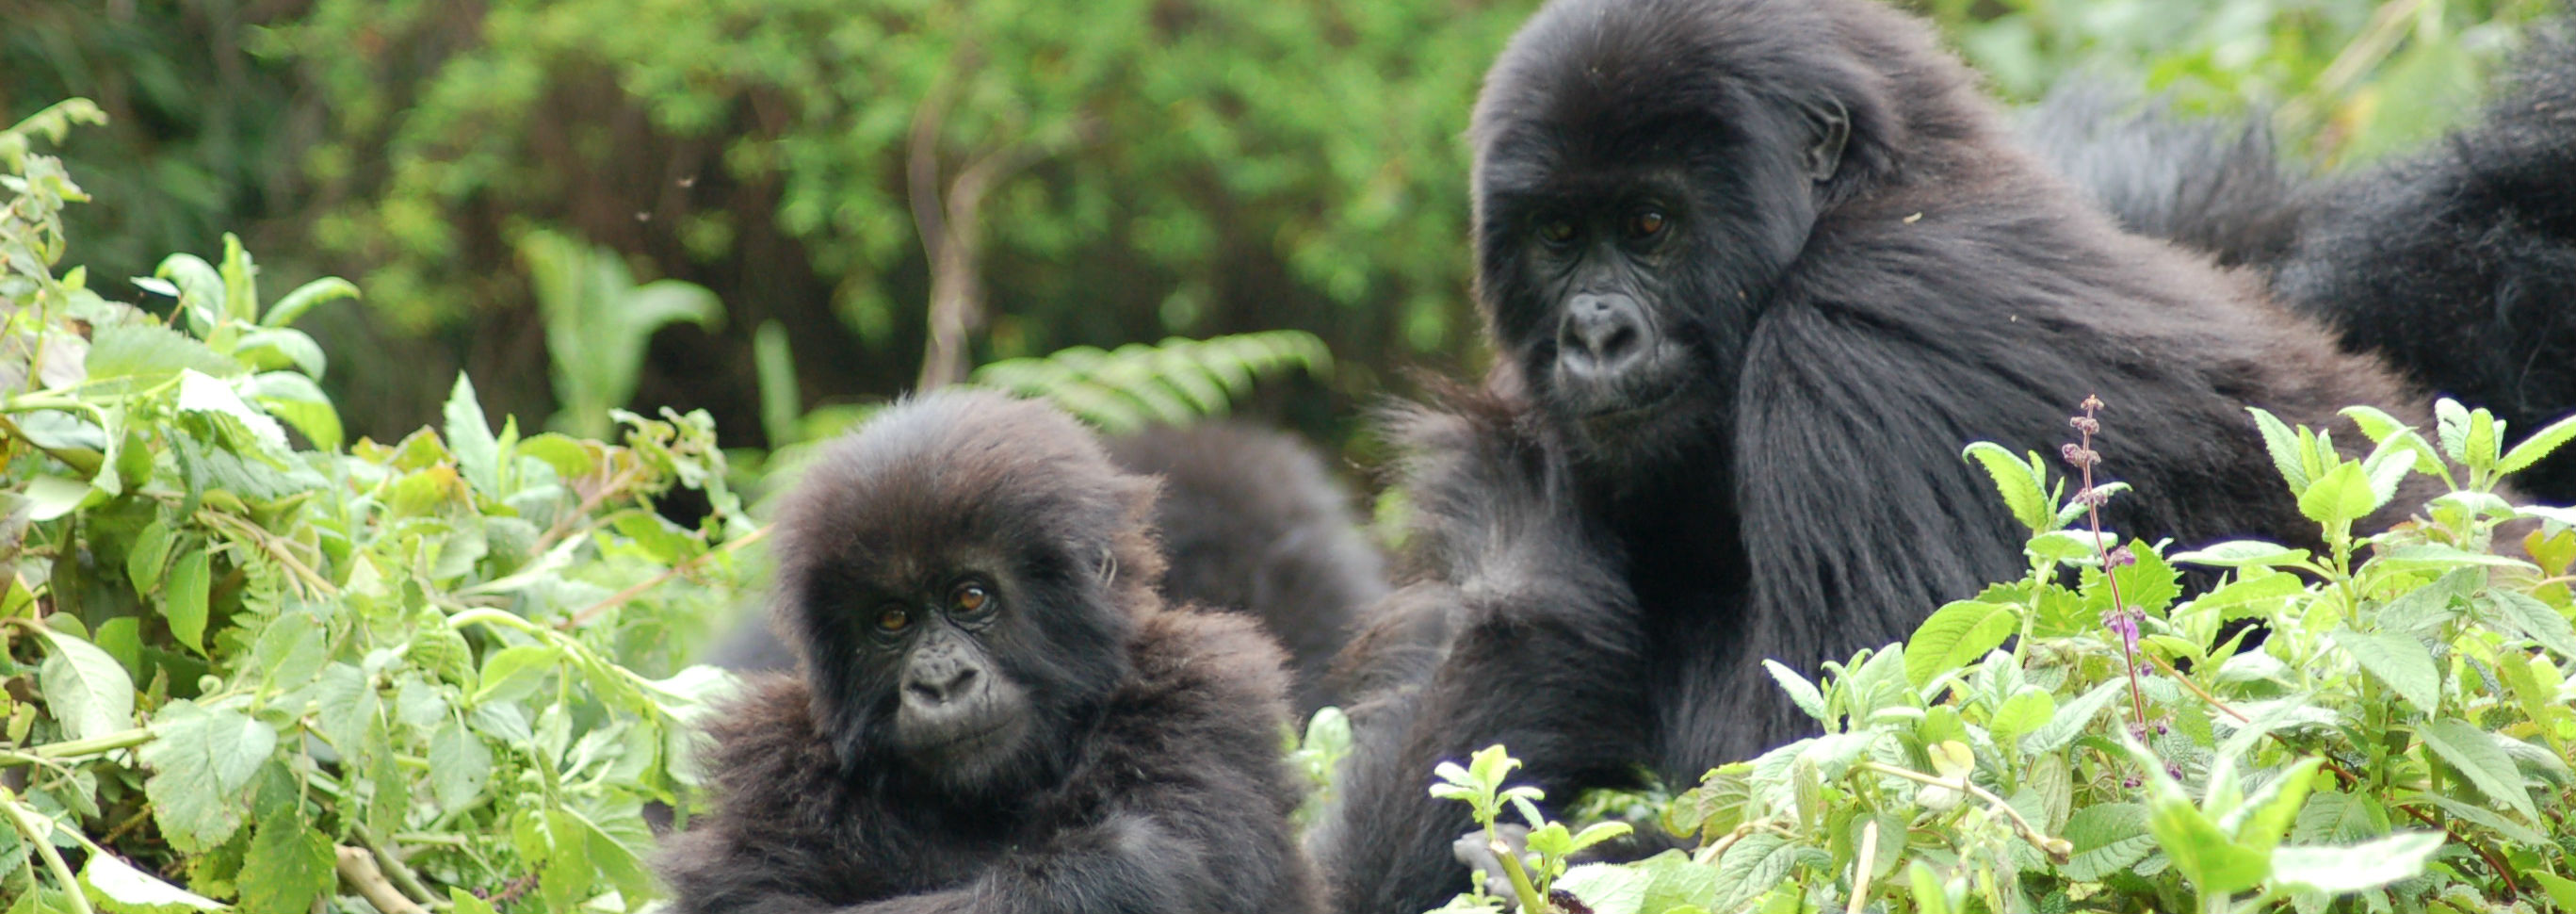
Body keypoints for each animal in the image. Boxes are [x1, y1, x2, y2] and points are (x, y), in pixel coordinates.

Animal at [1319, 0, 2441, 911]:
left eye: (1647, 225)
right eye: (1557, 235)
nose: (1592, 338)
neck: (1878, 186)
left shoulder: (1856, 340)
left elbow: (1863, 782)